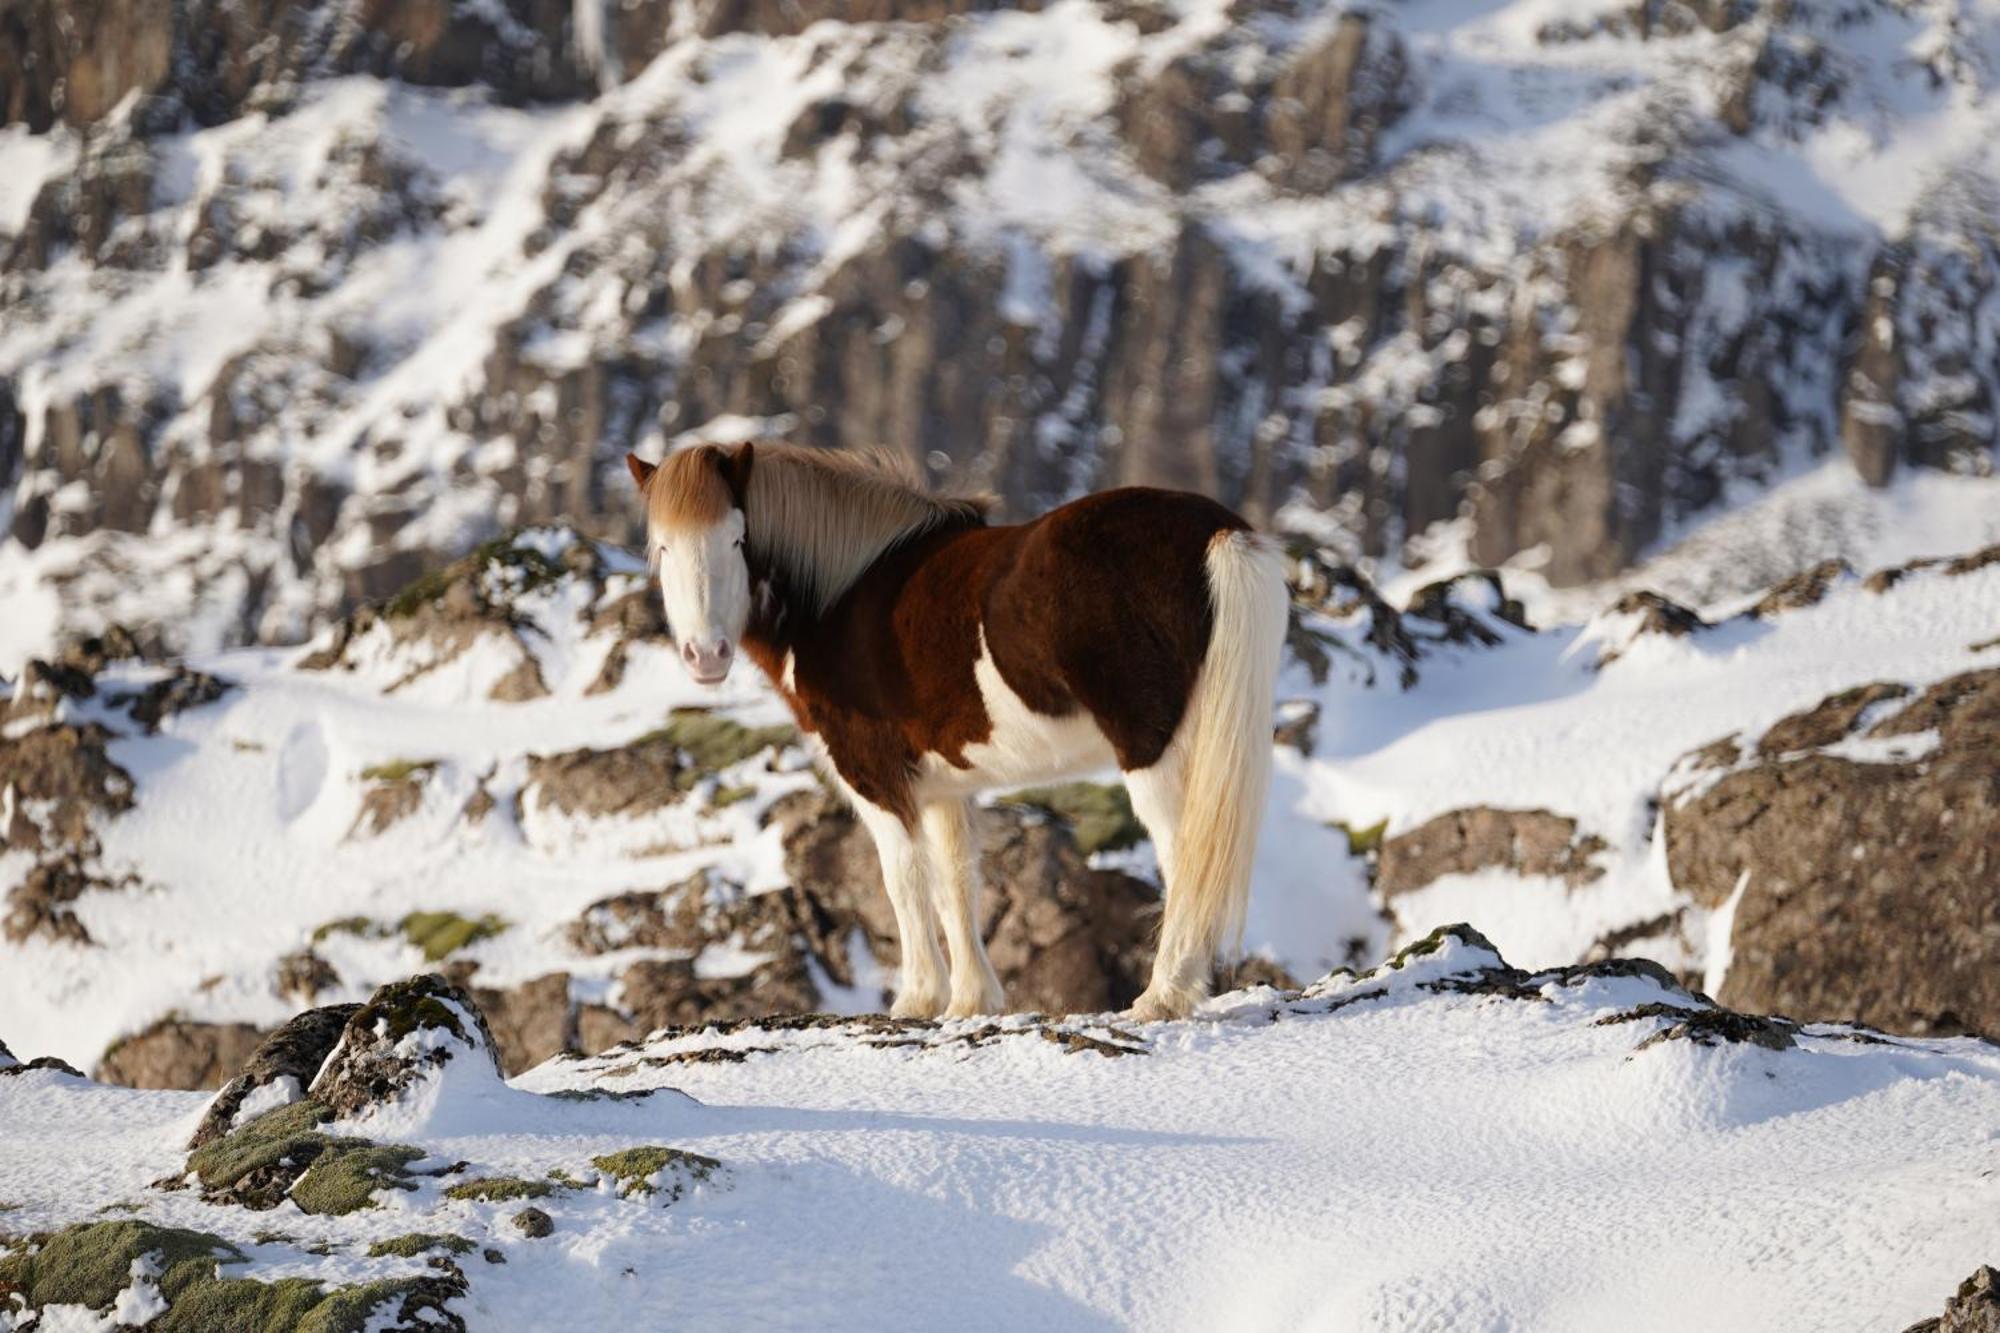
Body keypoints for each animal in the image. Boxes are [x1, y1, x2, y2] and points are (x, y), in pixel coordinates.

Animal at [620, 444, 1296, 1016]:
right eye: (662, 548)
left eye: (737, 538)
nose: (705, 655)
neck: (841, 594)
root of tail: (1217, 532)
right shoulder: (944, 788)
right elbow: (956, 881)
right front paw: (971, 1000)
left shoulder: (876, 779)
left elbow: (902, 879)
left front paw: (917, 1000)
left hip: (1153, 752)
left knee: (1183, 856)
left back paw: (1163, 996)